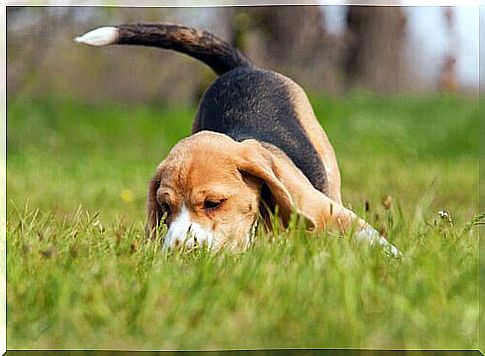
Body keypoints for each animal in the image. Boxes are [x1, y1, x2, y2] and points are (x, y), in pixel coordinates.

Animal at [75, 23, 398, 256]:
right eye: (165, 207)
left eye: (213, 203)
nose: (177, 253)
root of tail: (242, 68)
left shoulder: (330, 213)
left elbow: (374, 240)